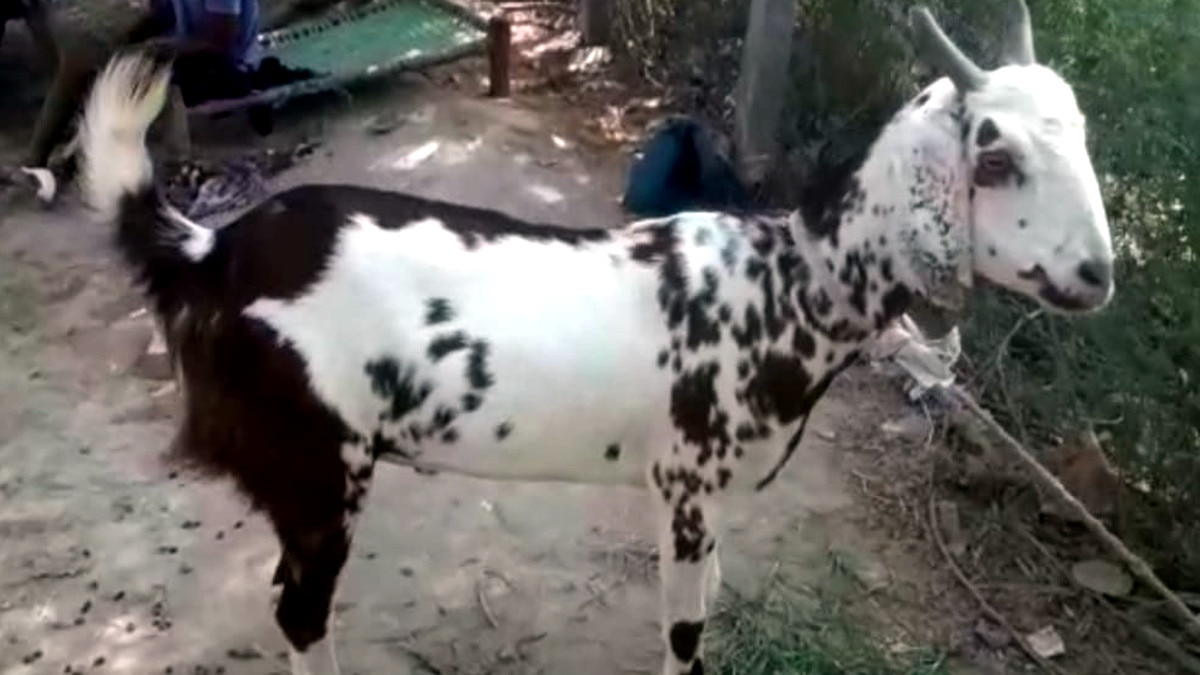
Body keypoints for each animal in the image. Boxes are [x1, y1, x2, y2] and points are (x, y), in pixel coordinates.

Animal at [75, 1, 1113, 673]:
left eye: (1082, 135)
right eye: (993, 153)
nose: (1099, 275)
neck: (788, 289)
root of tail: (211, 249)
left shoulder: (705, 500)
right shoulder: (685, 487)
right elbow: (685, 636)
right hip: (318, 464)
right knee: (300, 612)